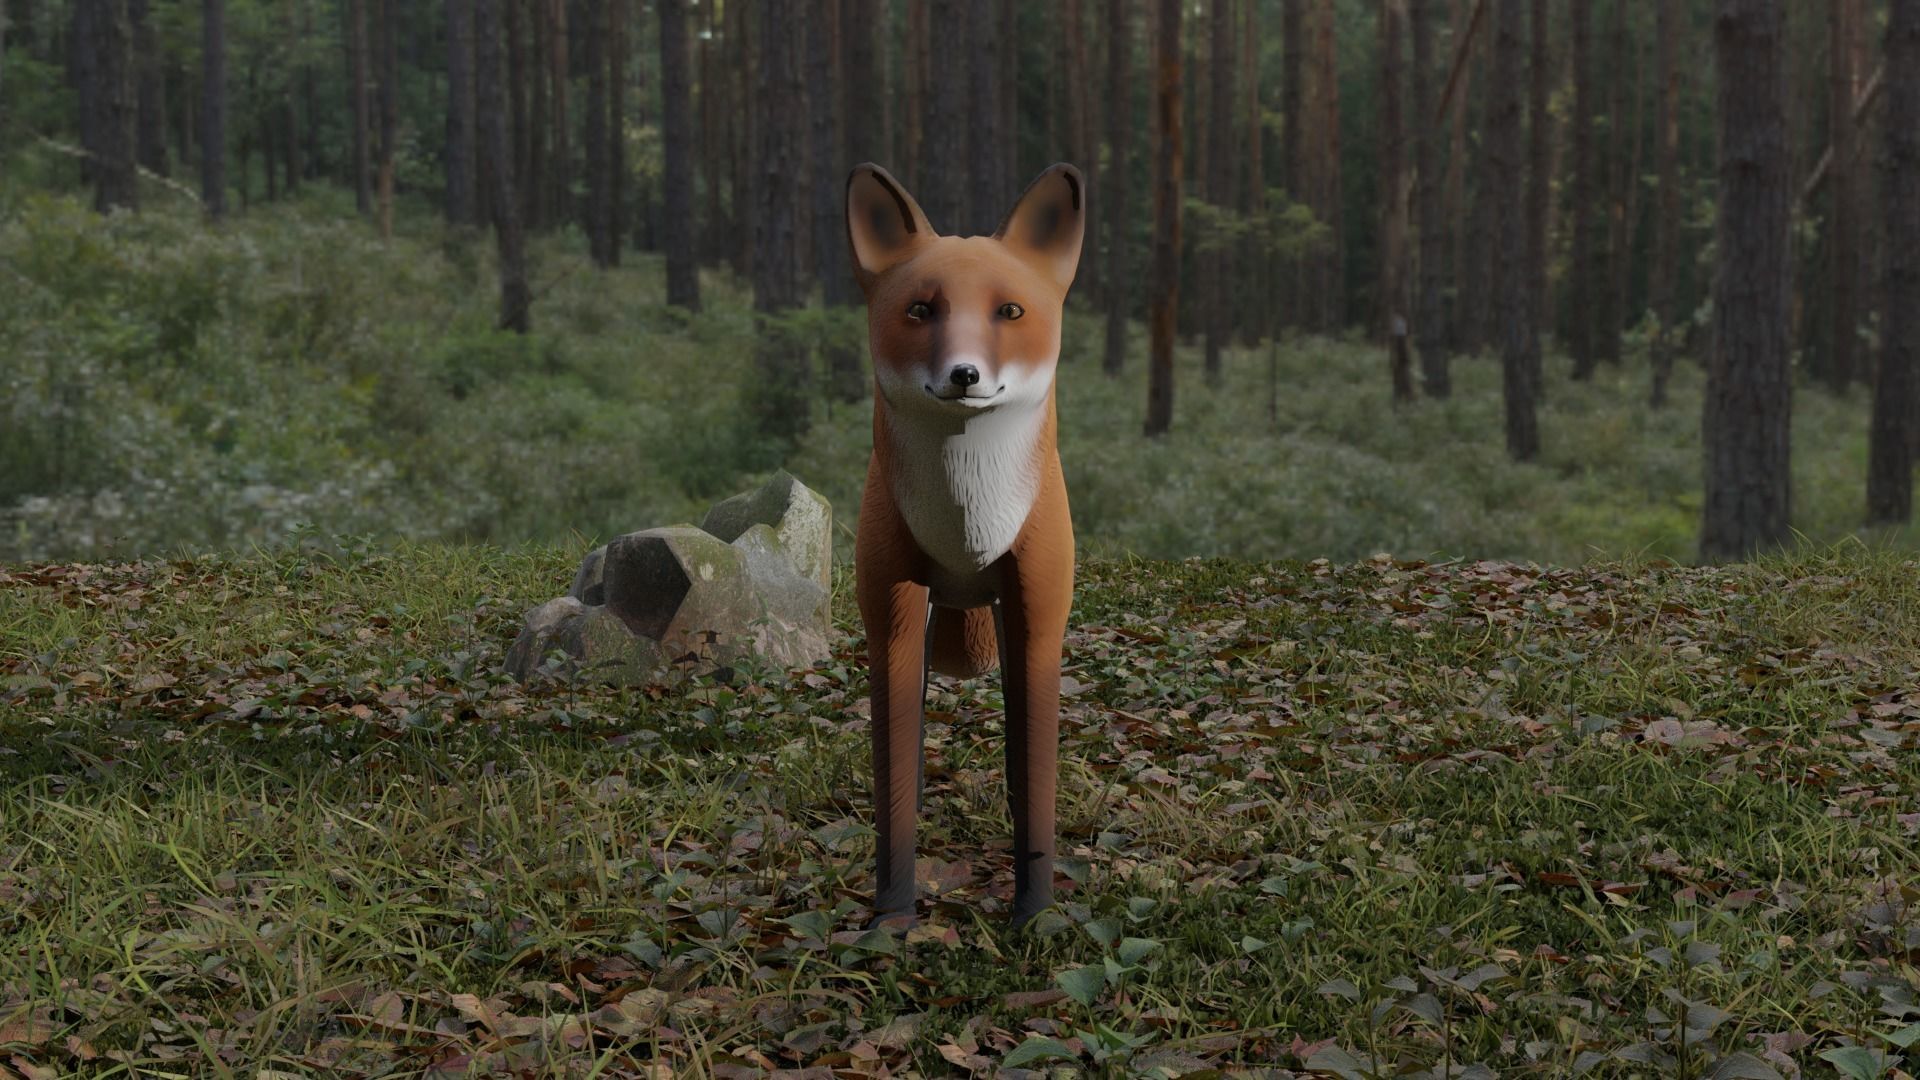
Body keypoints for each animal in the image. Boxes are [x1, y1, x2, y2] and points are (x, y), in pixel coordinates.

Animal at [843, 162, 1084, 929]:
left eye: (1009, 311)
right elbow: (894, 792)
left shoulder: (1036, 608)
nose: (965, 375)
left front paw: (1033, 918)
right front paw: (891, 922)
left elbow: (1033, 787)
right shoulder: (891, 610)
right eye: (921, 310)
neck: (966, 522)